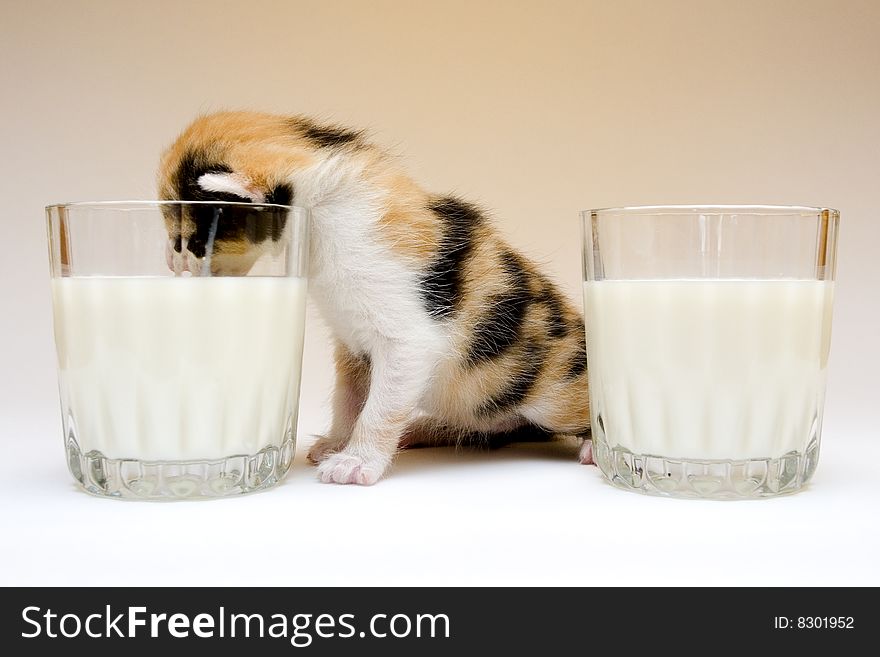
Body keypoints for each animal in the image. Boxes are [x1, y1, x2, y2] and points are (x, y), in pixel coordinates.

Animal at [158, 110, 592, 484]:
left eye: (190, 241)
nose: (172, 264)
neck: (321, 219)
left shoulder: (409, 339)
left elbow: (380, 406)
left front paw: (354, 463)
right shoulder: (349, 339)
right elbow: (348, 396)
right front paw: (335, 443)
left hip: (549, 388)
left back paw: (591, 447)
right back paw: (423, 429)